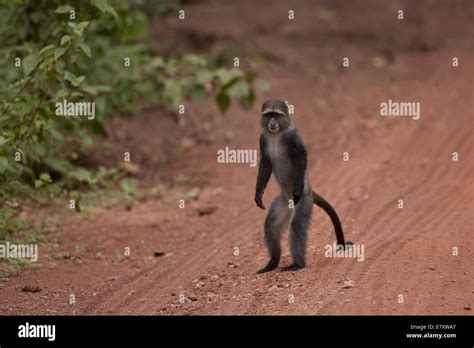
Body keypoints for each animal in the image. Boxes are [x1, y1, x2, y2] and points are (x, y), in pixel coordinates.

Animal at [254, 99, 350, 274]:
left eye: (277, 115)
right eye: (269, 115)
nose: (272, 122)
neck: (276, 134)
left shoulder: (291, 137)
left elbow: (301, 157)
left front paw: (297, 188)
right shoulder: (263, 138)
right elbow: (265, 162)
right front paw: (258, 193)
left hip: (304, 202)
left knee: (297, 226)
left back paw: (298, 265)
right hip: (284, 202)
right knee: (271, 225)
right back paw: (273, 262)